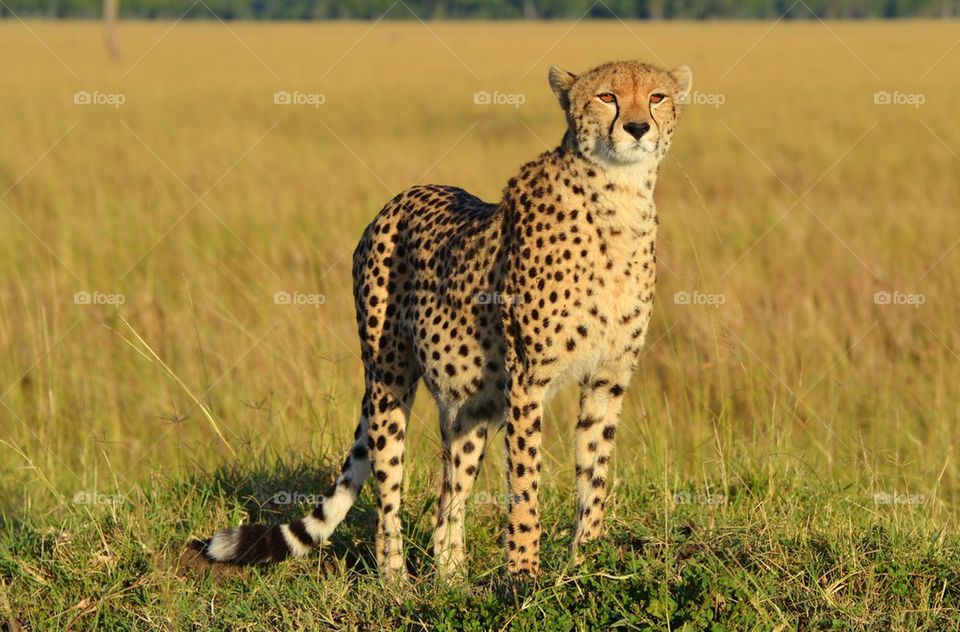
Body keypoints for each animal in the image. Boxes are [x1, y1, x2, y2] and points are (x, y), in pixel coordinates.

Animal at [202, 59, 692, 576]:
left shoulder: (607, 378)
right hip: (389, 380)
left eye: (656, 97)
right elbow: (526, 484)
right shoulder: (526, 381)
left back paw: (452, 578)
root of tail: (398, 199)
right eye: (606, 97)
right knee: (388, 497)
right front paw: (524, 575)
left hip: (473, 403)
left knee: (447, 501)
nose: (637, 128)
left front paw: (587, 564)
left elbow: (594, 474)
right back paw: (396, 580)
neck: (619, 199)